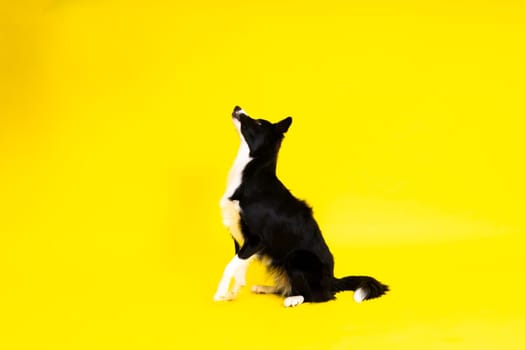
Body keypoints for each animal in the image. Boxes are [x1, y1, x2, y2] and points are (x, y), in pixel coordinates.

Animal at [214, 106, 388, 306]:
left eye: (257, 122)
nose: (237, 107)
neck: (251, 173)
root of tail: (332, 279)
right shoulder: (241, 239)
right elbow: (238, 269)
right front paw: (231, 294)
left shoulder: (256, 239)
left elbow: (230, 267)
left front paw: (219, 294)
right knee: (288, 286)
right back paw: (268, 288)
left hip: (297, 258)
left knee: (320, 296)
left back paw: (294, 299)